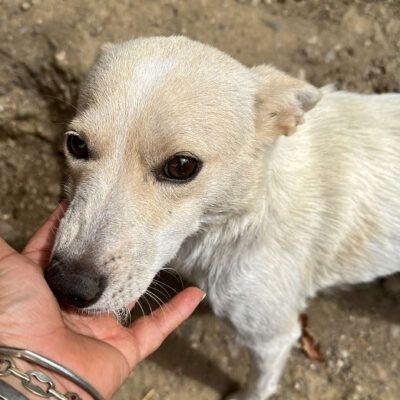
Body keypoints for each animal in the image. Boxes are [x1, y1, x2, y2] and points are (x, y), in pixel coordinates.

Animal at [44, 36, 400, 400]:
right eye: (76, 144)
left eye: (181, 166)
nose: (67, 285)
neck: (245, 214)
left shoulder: (272, 337)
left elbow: (260, 383)